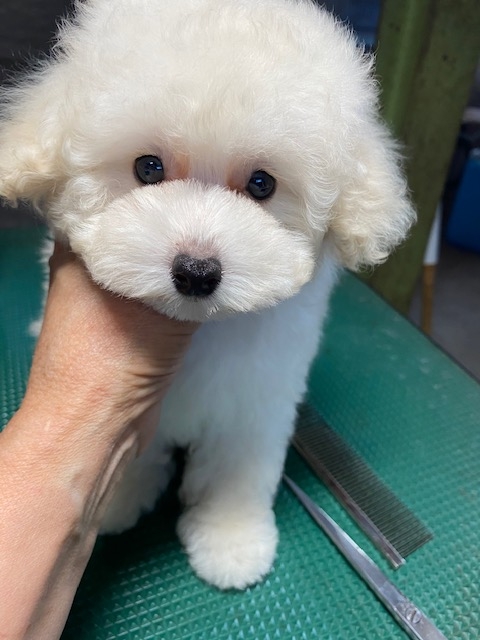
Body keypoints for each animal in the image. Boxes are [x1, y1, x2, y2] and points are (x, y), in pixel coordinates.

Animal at [0, 0, 415, 590]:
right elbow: (136, 453)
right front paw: (120, 500)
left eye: (262, 184)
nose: (196, 271)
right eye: (148, 167)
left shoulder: (255, 403)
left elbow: (235, 471)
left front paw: (231, 539)